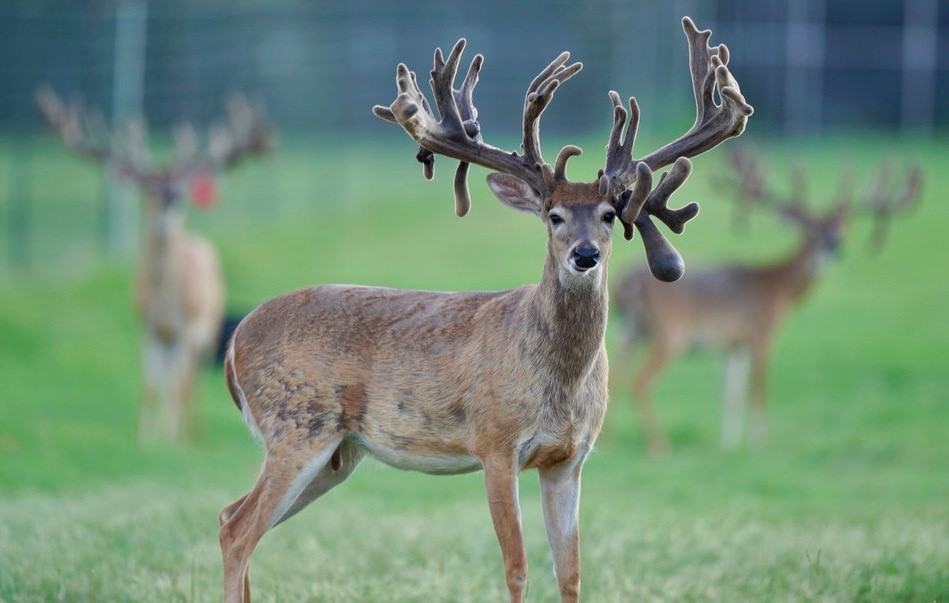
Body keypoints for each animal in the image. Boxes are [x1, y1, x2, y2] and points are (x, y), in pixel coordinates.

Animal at [36, 88, 273, 442]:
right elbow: (150, 386)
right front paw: (147, 439)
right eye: (148, 186)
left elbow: (177, 386)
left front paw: (173, 440)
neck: (164, 301)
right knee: (174, 381)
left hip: (206, 329)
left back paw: (192, 434)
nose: (169, 195)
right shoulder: (147, 325)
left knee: (190, 383)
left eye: (182, 187)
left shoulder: (188, 326)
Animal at [217, 17, 751, 603]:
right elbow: (516, 565)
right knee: (237, 530)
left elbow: (571, 572)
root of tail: (234, 344)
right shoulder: (495, 443)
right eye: (553, 215)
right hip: (297, 425)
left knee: (230, 517)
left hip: (338, 452)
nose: (585, 255)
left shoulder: (569, 459)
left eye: (610, 214)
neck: (558, 381)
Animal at [614, 149, 922, 454]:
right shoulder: (761, 333)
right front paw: (762, 442)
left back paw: (611, 439)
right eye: (812, 229)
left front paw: (730, 444)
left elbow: (731, 392)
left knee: (617, 377)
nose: (834, 244)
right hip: (670, 333)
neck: (778, 286)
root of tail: (628, 281)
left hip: (630, 331)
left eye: (843, 226)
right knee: (640, 382)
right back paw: (659, 447)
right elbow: (758, 390)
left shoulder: (733, 345)